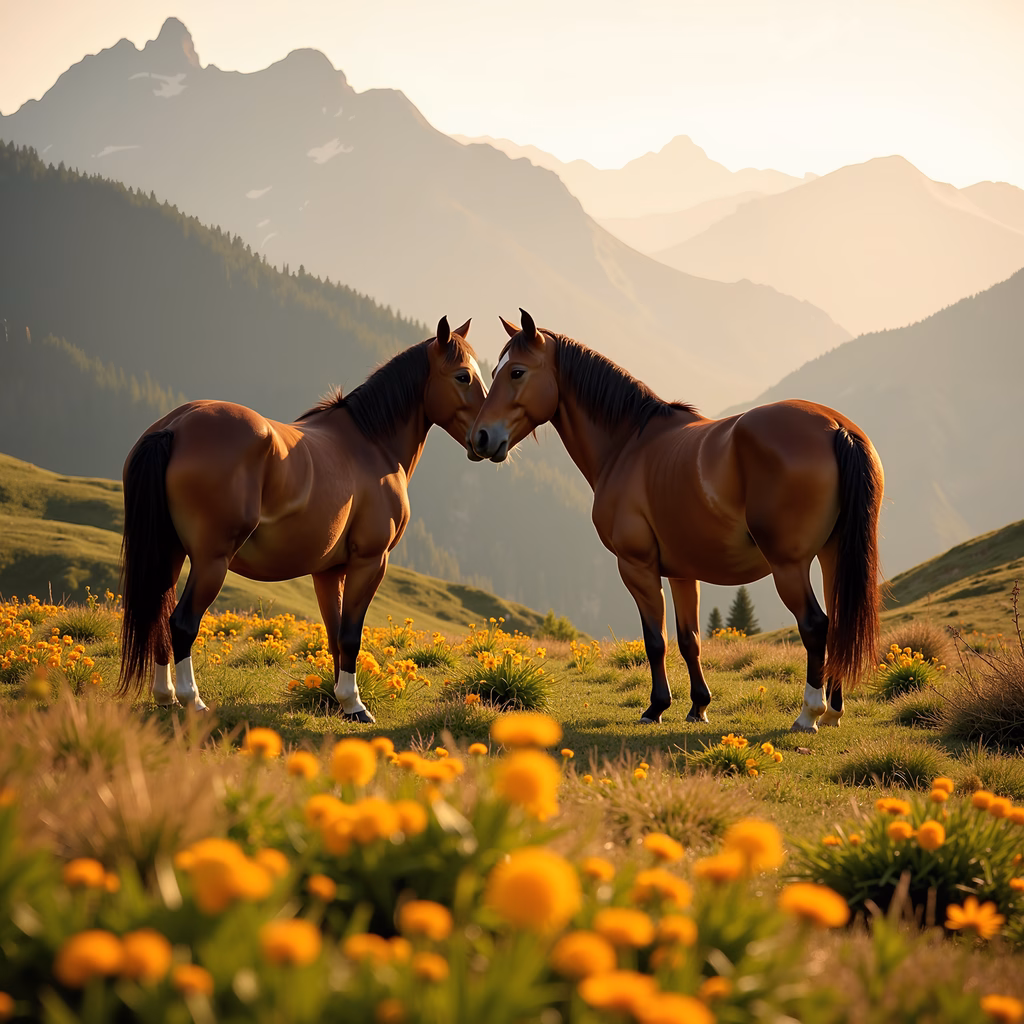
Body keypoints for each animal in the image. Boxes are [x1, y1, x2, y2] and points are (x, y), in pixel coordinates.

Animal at [118, 317, 487, 723]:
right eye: (463, 376)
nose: (487, 438)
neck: (371, 443)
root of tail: (175, 426)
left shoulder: (328, 572)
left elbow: (335, 636)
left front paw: (342, 702)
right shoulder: (371, 561)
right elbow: (350, 636)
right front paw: (356, 705)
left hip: (168, 553)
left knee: (157, 616)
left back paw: (165, 696)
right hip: (210, 561)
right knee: (181, 623)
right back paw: (192, 700)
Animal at [470, 310, 883, 733]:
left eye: (516, 372)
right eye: (498, 370)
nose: (480, 437)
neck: (628, 445)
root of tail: (836, 427)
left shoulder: (636, 566)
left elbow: (656, 640)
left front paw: (656, 707)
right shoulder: (685, 572)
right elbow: (689, 640)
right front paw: (698, 706)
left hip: (789, 565)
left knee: (815, 624)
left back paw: (809, 713)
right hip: (833, 554)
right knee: (838, 621)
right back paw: (833, 710)